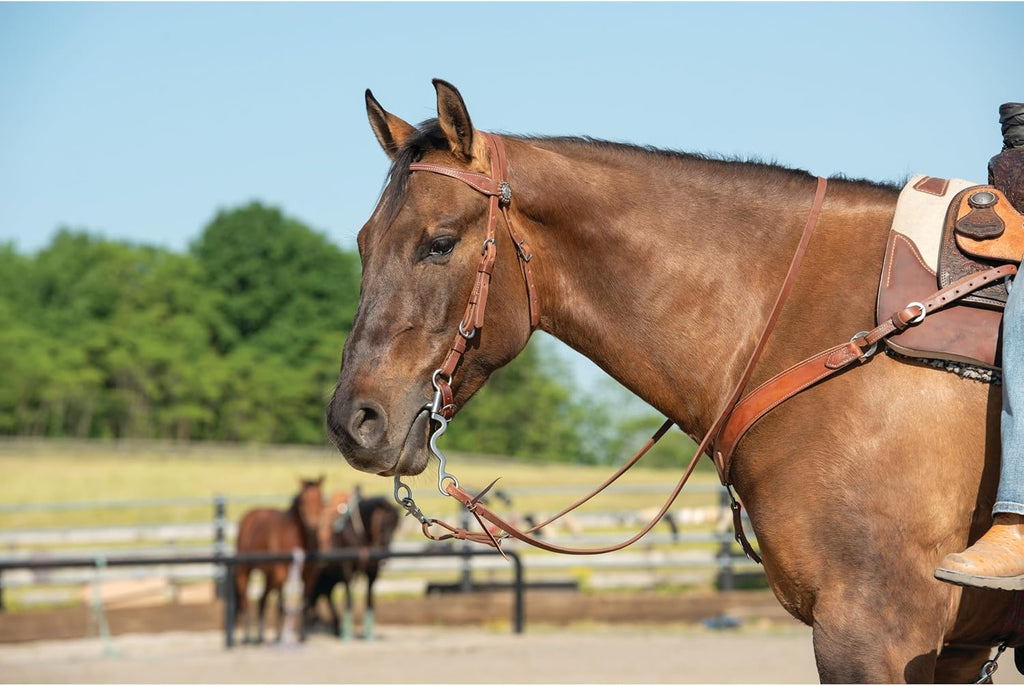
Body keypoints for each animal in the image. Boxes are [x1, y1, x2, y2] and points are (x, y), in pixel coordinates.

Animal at [234, 476, 324, 644]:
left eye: (321, 498)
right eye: (303, 500)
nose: (313, 526)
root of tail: (249, 516)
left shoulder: (309, 575)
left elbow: (304, 602)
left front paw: (301, 636)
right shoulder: (281, 573)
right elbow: (281, 605)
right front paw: (281, 636)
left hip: (268, 574)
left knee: (262, 599)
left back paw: (260, 636)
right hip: (245, 571)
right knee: (245, 601)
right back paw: (248, 636)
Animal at [305, 489, 399, 639]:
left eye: (396, 526)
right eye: (382, 525)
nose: (384, 555)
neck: (358, 534)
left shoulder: (372, 572)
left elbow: (369, 599)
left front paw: (368, 635)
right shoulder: (347, 569)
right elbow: (349, 597)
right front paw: (347, 634)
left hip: (329, 578)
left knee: (325, 594)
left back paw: (334, 625)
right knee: (314, 595)